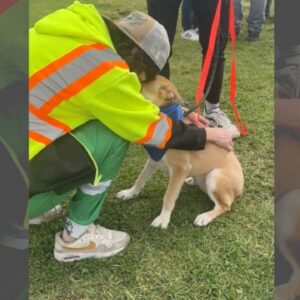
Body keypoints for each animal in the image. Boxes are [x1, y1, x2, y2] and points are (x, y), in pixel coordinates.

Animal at [115, 76, 244, 229]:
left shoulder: (180, 169)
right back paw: (191, 180)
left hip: (215, 175)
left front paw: (163, 219)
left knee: (224, 206)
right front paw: (130, 193)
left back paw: (205, 217)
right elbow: (140, 179)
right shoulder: (153, 161)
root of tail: (241, 187)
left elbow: (169, 196)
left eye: (138, 86)